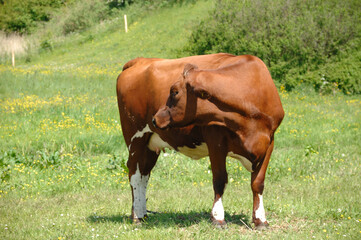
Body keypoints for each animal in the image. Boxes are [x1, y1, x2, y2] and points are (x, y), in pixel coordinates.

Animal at [116, 53, 284, 230]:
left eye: (174, 91)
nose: (156, 118)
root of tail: (140, 60)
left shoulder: (269, 142)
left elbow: (258, 183)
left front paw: (260, 220)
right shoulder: (216, 141)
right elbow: (220, 179)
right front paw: (218, 218)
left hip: (150, 145)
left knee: (144, 175)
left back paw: (143, 214)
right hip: (136, 138)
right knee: (134, 175)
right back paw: (137, 216)